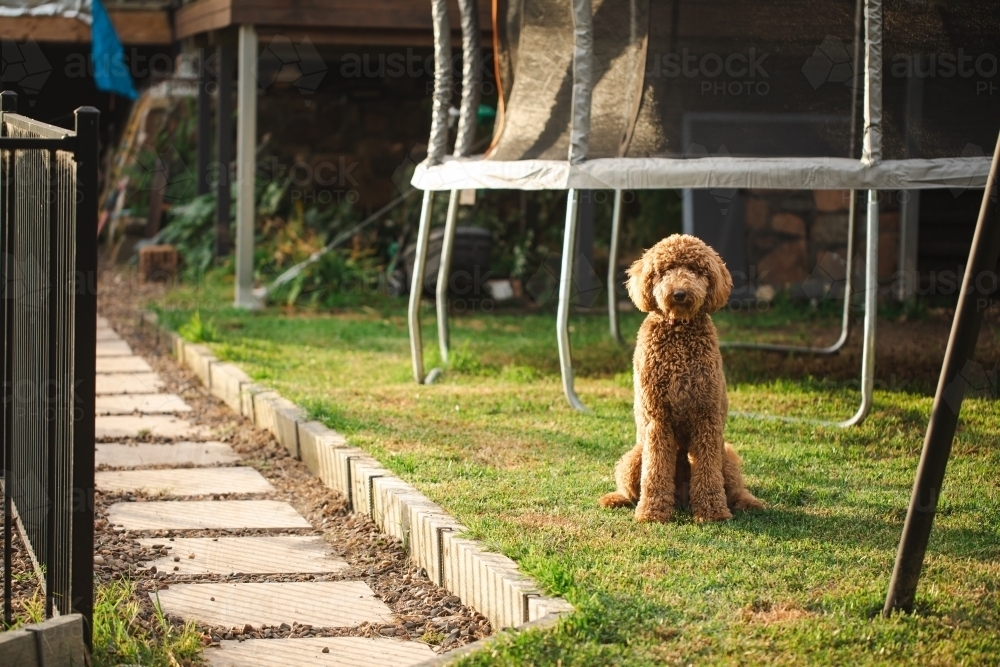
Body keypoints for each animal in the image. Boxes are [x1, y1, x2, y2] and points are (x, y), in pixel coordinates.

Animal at [596, 235, 760, 520]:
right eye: (664, 271)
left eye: (695, 270)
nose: (679, 293)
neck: (680, 334)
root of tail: (682, 498)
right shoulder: (658, 419)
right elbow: (655, 470)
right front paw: (652, 512)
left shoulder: (706, 417)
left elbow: (707, 470)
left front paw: (712, 512)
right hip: (634, 457)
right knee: (630, 487)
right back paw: (616, 498)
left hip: (726, 455)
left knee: (735, 488)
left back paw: (748, 502)